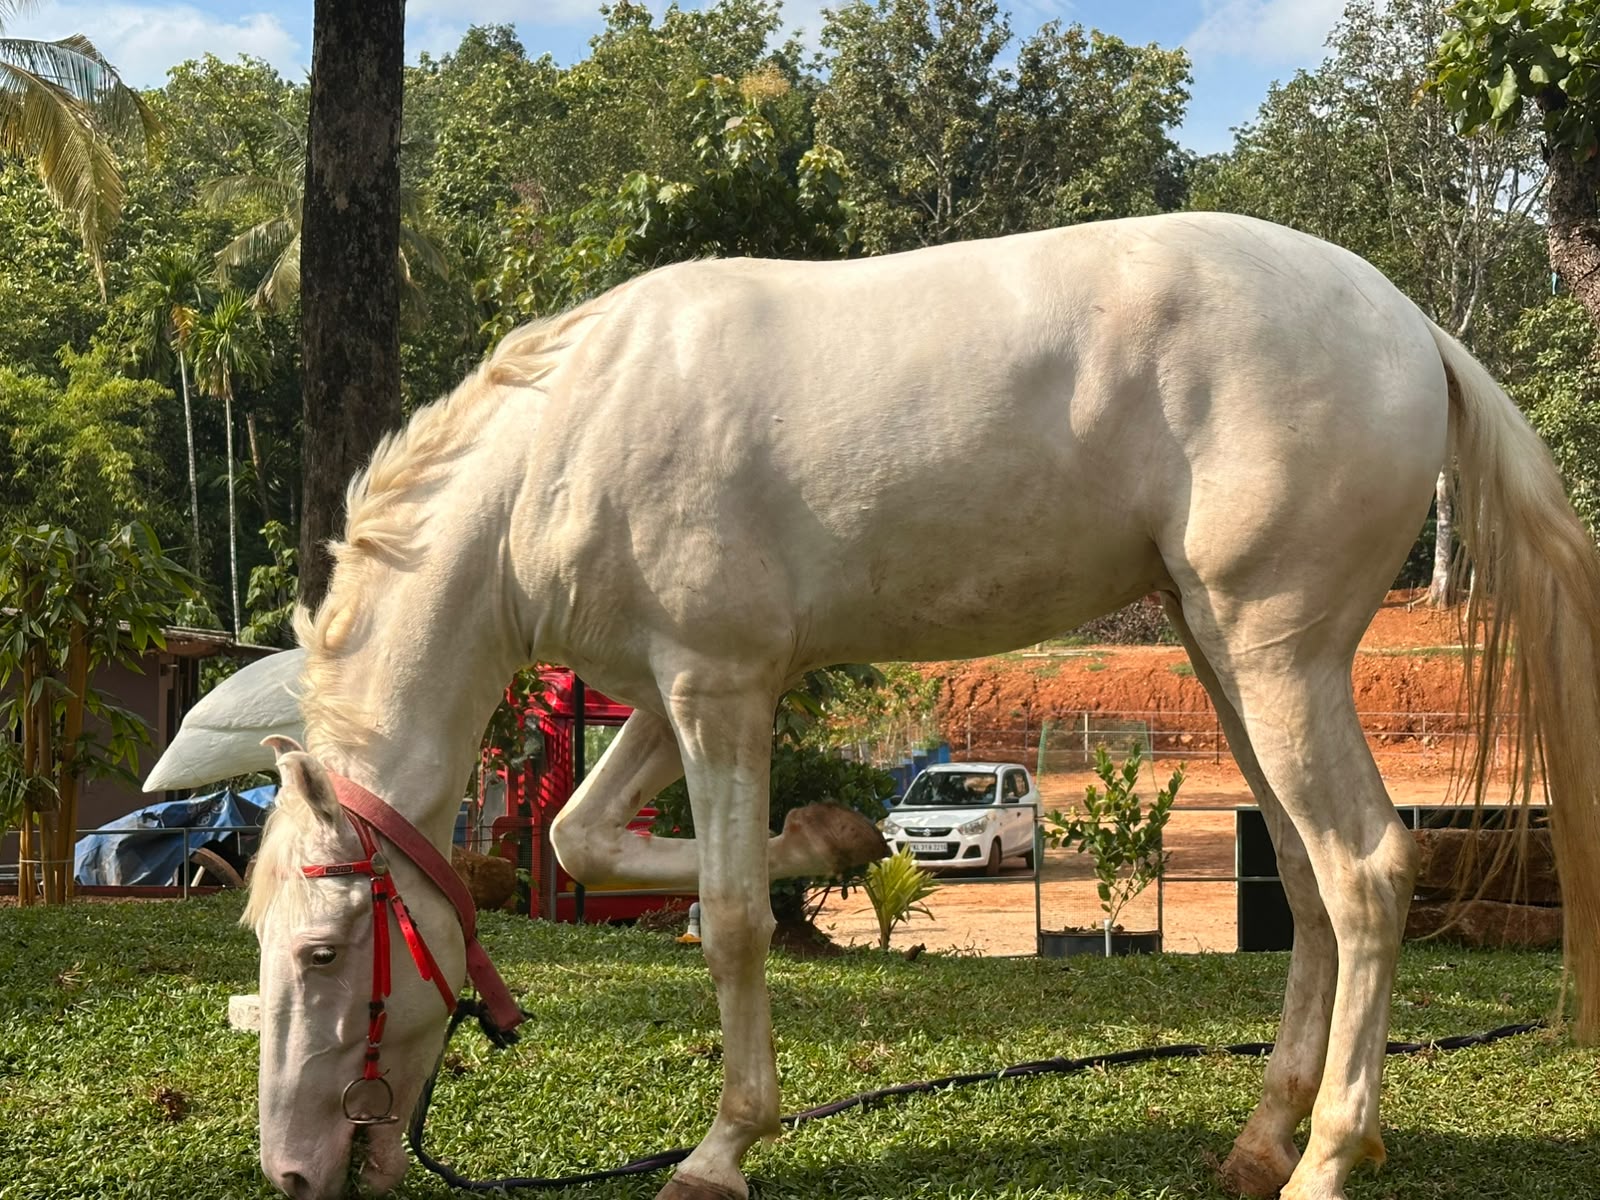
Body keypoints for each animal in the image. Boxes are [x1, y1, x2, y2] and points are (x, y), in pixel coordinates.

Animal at [242, 211, 1600, 1200]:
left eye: (324, 952)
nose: (294, 1173)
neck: (559, 450)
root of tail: (1407, 323)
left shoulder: (719, 688)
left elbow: (732, 921)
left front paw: (721, 1150)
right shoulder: (676, 692)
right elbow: (585, 839)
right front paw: (829, 838)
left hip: (1277, 662)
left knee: (1367, 869)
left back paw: (1325, 1159)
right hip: (1231, 661)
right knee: (1314, 888)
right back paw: (1265, 1140)